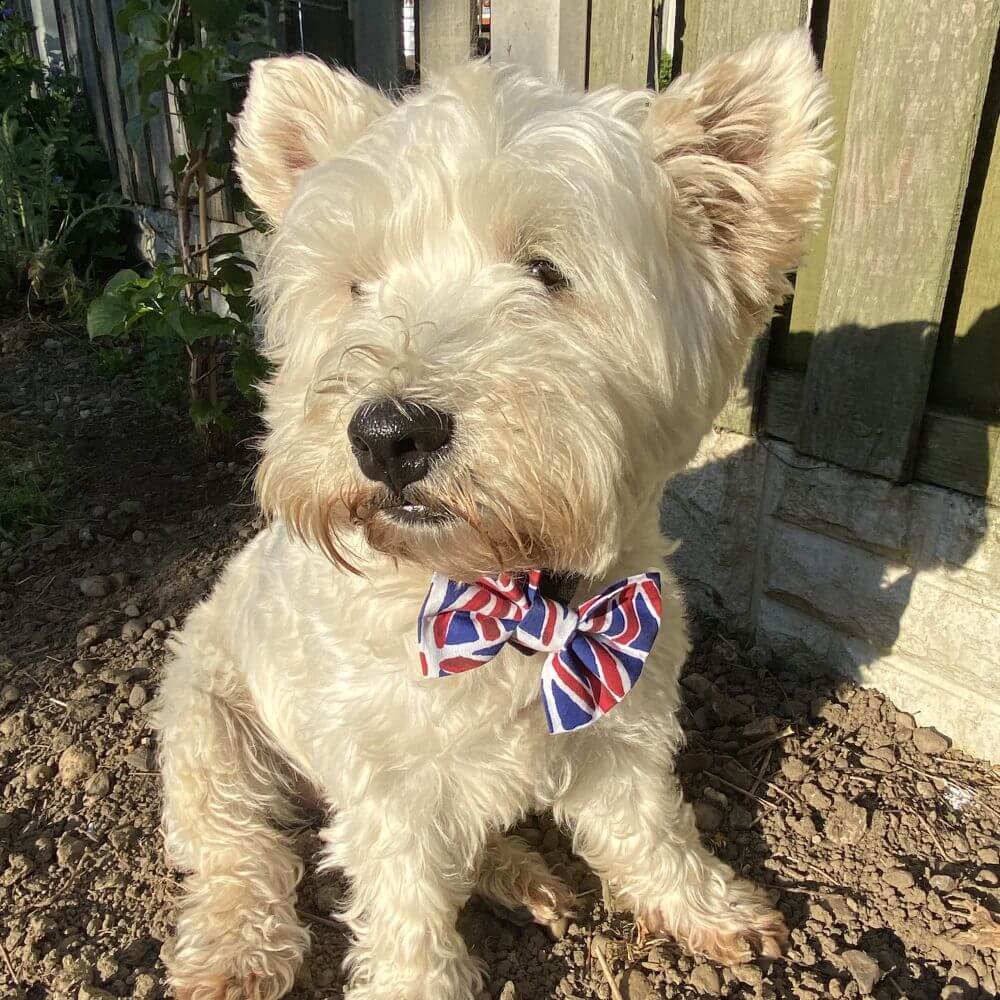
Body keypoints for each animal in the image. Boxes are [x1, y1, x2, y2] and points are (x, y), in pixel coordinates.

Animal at [156, 33, 828, 1000]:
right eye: (358, 286)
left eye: (545, 271)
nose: (389, 434)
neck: (503, 594)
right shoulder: (387, 792)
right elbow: (405, 914)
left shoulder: (624, 717)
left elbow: (648, 827)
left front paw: (704, 904)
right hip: (209, 732)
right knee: (239, 853)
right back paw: (239, 947)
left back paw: (521, 875)